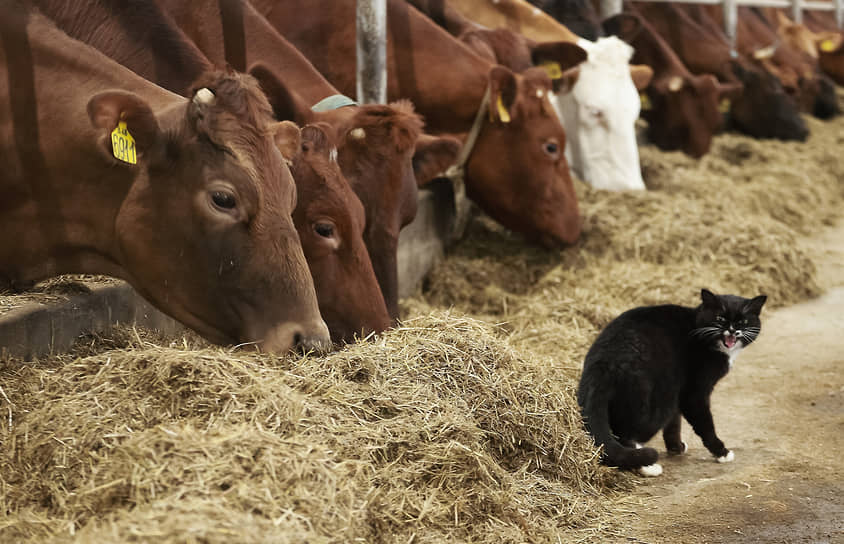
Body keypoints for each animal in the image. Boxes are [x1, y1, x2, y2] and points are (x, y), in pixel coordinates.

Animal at [580, 288, 764, 476]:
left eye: (743, 321)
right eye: (720, 318)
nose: (732, 330)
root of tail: (602, 361)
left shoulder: (678, 387)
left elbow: (674, 423)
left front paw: (676, 447)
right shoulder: (693, 392)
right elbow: (705, 424)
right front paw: (722, 452)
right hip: (657, 399)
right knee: (628, 433)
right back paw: (647, 466)